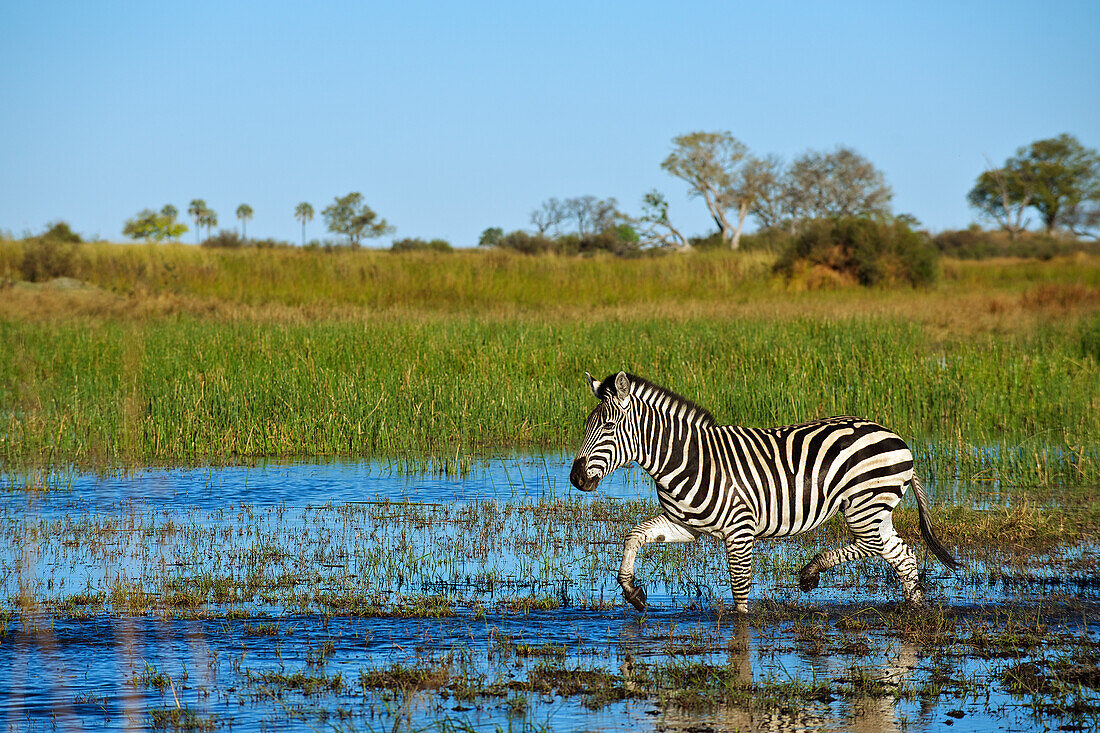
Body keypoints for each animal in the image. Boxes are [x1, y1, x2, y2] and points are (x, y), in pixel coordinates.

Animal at [572, 372, 959, 611]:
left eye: (608, 426)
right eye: (587, 424)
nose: (576, 478)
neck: (688, 458)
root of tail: (895, 436)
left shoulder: (740, 530)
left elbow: (739, 588)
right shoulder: (685, 525)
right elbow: (633, 535)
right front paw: (632, 592)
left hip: (864, 503)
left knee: (873, 546)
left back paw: (811, 571)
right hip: (877, 509)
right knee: (901, 555)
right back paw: (913, 610)